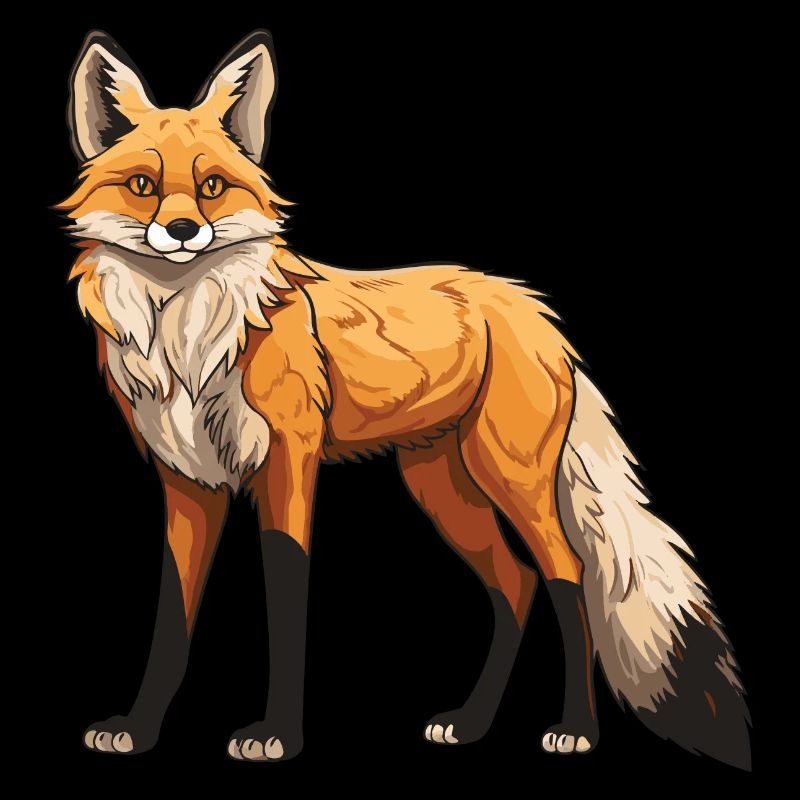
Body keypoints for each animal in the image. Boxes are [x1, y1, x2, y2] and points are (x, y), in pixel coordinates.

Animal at [61, 29, 750, 767]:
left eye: (211, 188)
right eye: (143, 186)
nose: (185, 231)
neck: (190, 343)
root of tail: (531, 307)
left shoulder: (289, 464)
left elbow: (286, 598)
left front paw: (277, 735)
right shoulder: (188, 483)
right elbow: (171, 620)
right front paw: (138, 728)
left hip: (511, 478)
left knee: (566, 577)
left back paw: (576, 729)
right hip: (439, 486)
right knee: (515, 585)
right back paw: (471, 723)